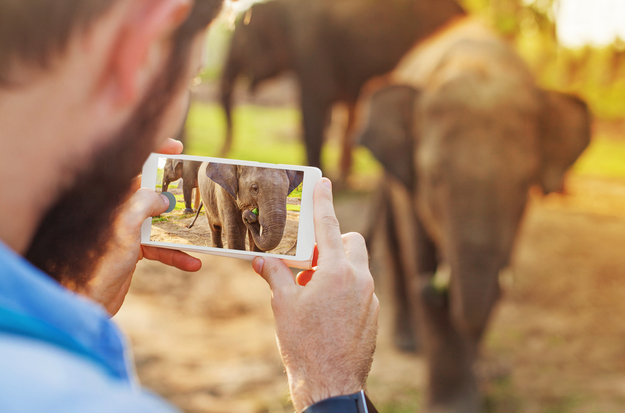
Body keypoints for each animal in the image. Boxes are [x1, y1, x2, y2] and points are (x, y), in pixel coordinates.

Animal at [217, 0, 466, 182]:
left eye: (241, 43)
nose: (224, 151)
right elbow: (348, 106)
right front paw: (342, 177)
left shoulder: (310, 44)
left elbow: (315, 107)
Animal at [356, 17, 588, 412]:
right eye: (434, 178)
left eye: (524, 184)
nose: (433, 288)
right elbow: (418, 249)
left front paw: (484, 377)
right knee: (396, 242)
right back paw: (409, 341)